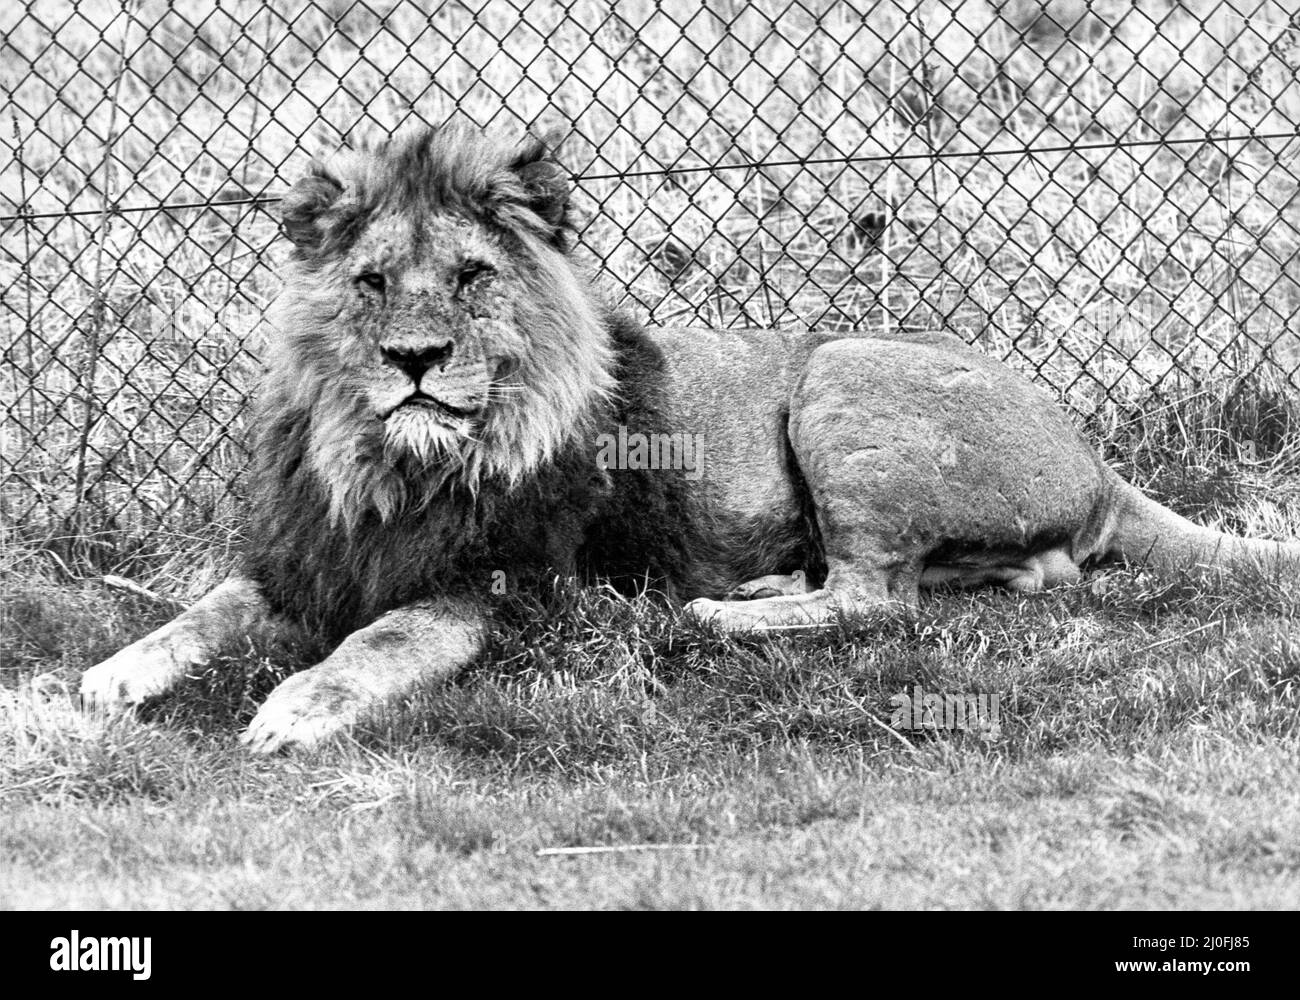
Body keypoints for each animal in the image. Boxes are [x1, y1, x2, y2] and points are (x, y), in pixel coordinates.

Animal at [78, 120, 1300, 749]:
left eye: (471, 279)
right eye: (372, 283)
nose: (414, 359)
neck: (395, 465)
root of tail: (1097, 460)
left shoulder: (506, 585)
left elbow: (379, 642)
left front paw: (292, 707)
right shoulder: (303, 558)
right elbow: (198, 614)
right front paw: (103, 678)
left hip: (841, 372)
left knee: (876, 598)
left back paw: (725, 612)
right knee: (969, 579)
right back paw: (768, 587)